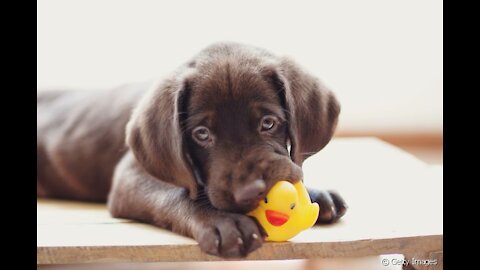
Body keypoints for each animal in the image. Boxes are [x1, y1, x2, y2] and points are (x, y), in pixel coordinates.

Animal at [36, 41, 344, 258]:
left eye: (268, 123)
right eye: (202, 134)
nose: (250, 192)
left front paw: (318, 193)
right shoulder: (130, 176)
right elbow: (176, 195)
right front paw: (223, 222)